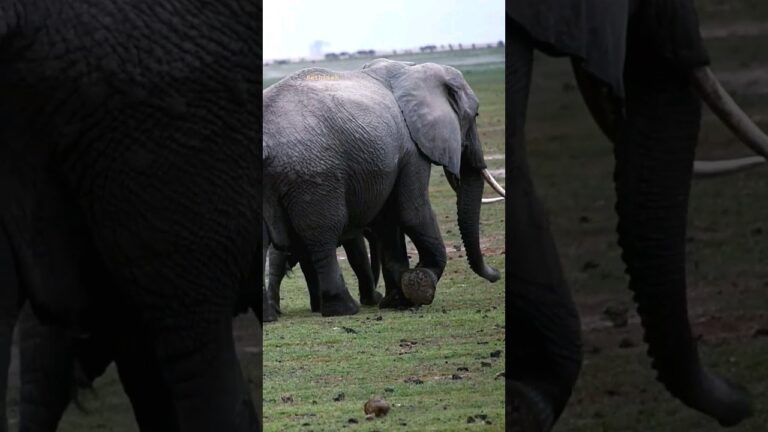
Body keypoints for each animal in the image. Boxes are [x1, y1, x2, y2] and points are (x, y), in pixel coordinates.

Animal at [263, 58, 505, 317]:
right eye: (475, 115)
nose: (496, 275)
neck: (412, 69)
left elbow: (387, 222)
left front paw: (396, 301)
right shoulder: (410, 148)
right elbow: (413, 213)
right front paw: (419, 284)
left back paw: (272, 315)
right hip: (314, 174)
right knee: (322, 234)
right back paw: (344, 308)